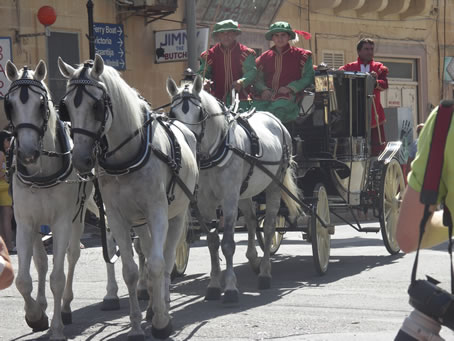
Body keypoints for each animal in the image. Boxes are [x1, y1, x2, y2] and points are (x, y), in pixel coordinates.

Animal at [3, 61, 122, 340]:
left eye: (41, 105)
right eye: (9, 104)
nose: (27, 153)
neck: (41, 172)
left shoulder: (61, 222)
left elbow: (57, 276)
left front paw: (56, 327)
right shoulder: (26, 223)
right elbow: (27, 275)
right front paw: (36, 314)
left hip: (91, 207)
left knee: (92, 247)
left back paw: (104, 296)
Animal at [57, 54, 198, 338]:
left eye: (97, 106)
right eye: (65, 108)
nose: (80, 160)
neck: (128, 156)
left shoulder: (158, 212)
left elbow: (157, 264)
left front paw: (162, 322)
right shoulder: (116, 216)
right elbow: (130, 270)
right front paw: (135, 325)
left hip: (176, 214)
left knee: (166, 260)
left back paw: (163, 305)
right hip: (139, 220)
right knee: (145, 250)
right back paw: (152, 303)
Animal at [167, 75, 302, 302]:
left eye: (200, 113)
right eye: (172, 113)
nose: (187, 141)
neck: (213, 151)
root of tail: (275, 120)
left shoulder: (229, 197)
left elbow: (228, 244)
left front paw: (230, 288)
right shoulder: (205, 202)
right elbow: (212, 241)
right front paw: (214, 285)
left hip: (273, 184)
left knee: (268, 227)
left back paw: (265, 272)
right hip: (244, 192)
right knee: (251, 220)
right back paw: (254, 259)